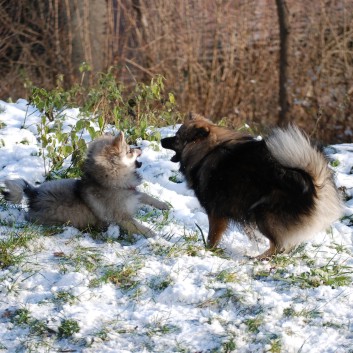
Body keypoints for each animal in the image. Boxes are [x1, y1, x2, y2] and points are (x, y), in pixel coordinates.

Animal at [2, 133, 168, 235]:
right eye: (129, 151)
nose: (139, 147)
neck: (112, 182)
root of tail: (34, 194)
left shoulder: (133, 192)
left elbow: (146, 196)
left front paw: (164, 205)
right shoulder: (122, 218)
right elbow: (141, 228)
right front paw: (156, 237)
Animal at [162, 114, 340, 258]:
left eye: (177, 138)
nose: (162, 140)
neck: (206, 153)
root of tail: (313, 186)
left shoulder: (216, 212)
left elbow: (212, 235)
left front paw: (208, 250)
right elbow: (250, 233)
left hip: (264, 214)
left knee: (279, 246)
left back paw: (258, 258)